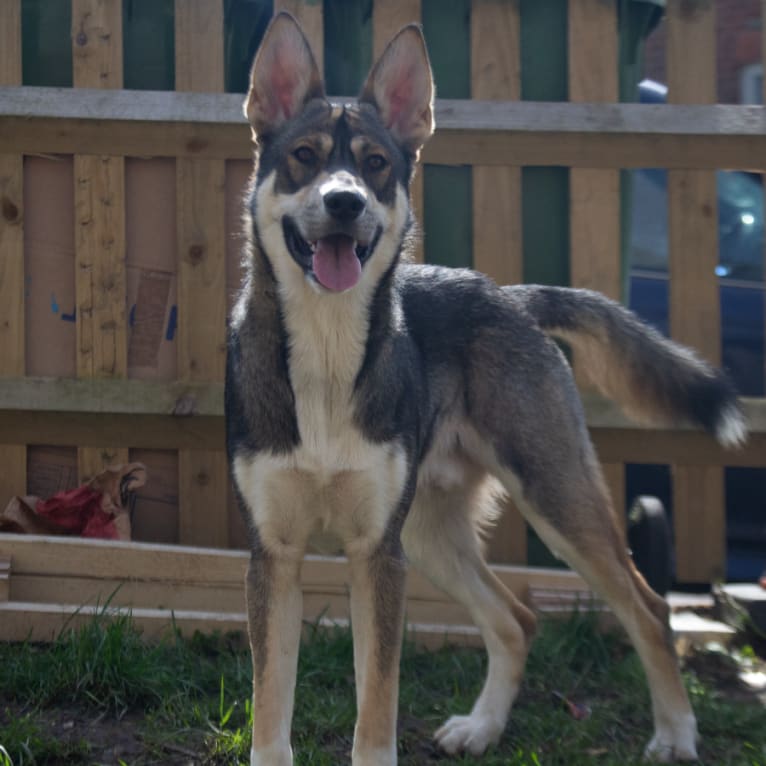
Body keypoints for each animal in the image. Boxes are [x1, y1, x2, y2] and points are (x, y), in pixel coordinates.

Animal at [226, 13, 752, 766]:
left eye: (375, 164)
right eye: (303, 155)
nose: (344, 200)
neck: (327, 357)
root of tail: (512, 296)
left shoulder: (377, 558)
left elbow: (376, 709)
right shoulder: (275, 556)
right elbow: (272, 706)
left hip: (555, 500)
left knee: (649, 609)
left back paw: (676, 734)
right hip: (431, 535)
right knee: (519, 618)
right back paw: (482, 728)